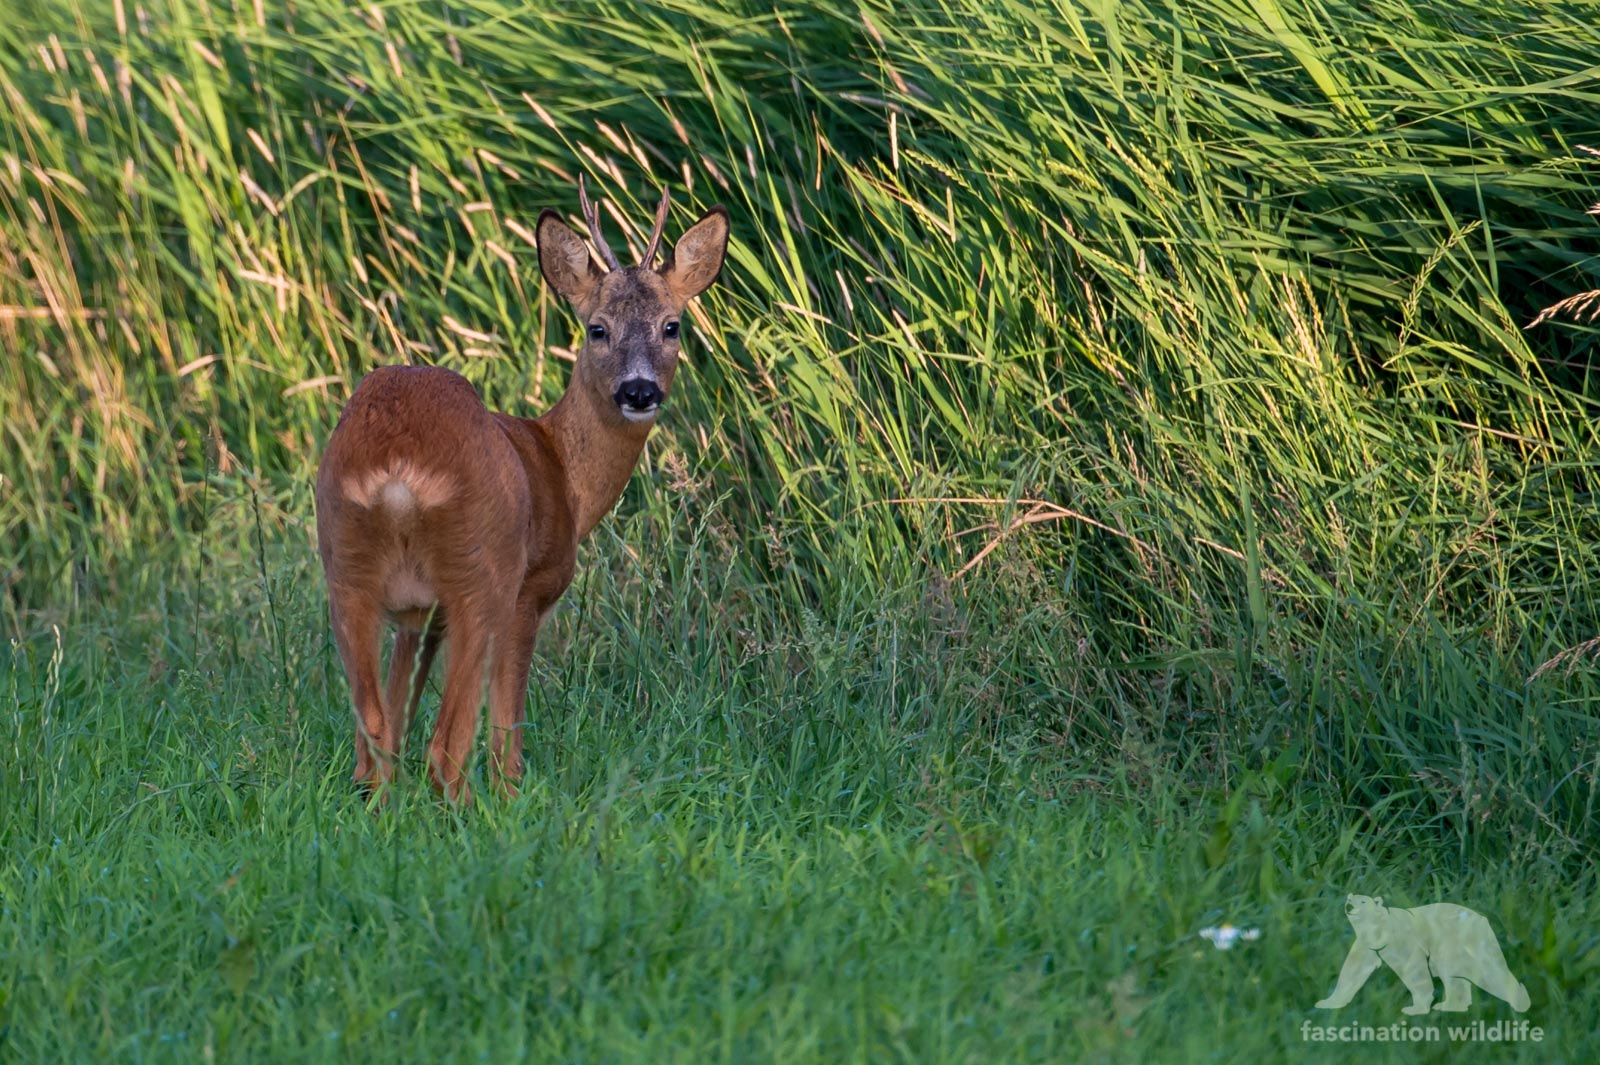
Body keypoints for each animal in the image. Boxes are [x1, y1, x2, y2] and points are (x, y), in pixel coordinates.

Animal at [314, 178, 729, 803]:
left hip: (346, 569)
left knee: (376, 735)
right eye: (597, 328)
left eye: (671, 326)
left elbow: (397, 711)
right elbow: (506, 726)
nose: (638, 390)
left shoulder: (417, 619)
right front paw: (512, 796)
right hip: (482, 573)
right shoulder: (529, 593)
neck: (561, 470)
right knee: (446, 747)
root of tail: (398, 474)